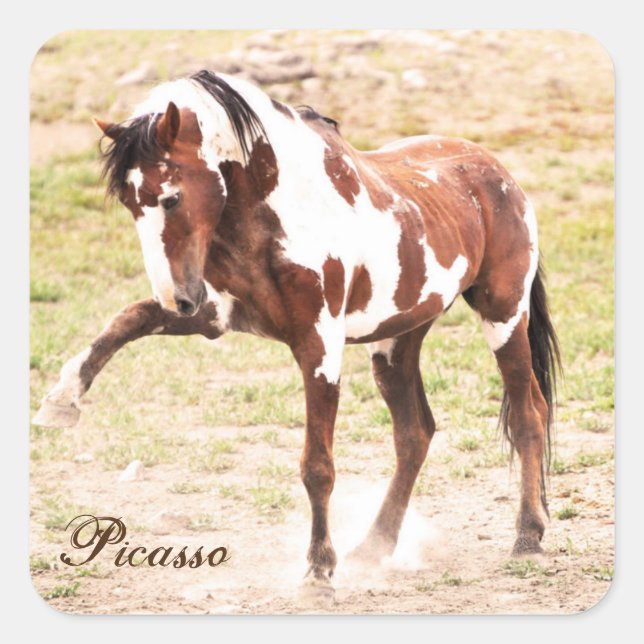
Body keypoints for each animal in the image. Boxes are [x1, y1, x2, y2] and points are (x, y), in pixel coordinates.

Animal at [33, 69, 560, 596]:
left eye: (171, 197)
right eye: (128, 203)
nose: (175, 296)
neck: (276, 219)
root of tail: (500, 175)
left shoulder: (318, 345)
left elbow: (318, 466)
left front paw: (319, 569)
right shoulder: (213, 314)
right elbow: (127, 319)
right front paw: (61, 400)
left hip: (503, 315)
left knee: (527, 415)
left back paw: (527, 535)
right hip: (397, 340)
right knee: (415, 434)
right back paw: (374, 547)